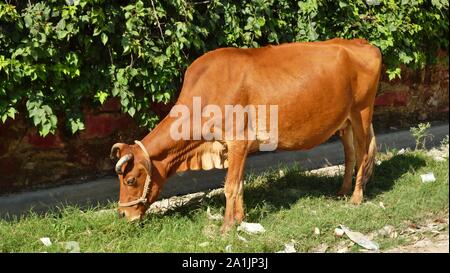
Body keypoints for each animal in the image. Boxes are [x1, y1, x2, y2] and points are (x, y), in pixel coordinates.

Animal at [110, 37, 382, 231]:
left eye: (130, 180)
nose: (123, 213)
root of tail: (363, 43)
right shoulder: (235, 148)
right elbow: (239, 183)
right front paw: (239, 219)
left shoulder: (238, 141)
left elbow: (230, 185)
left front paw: (226, 227)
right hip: (345, 121)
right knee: (350, 154)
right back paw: (342, 191)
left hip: (362, 112)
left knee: (363, 153)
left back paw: (356, 197)